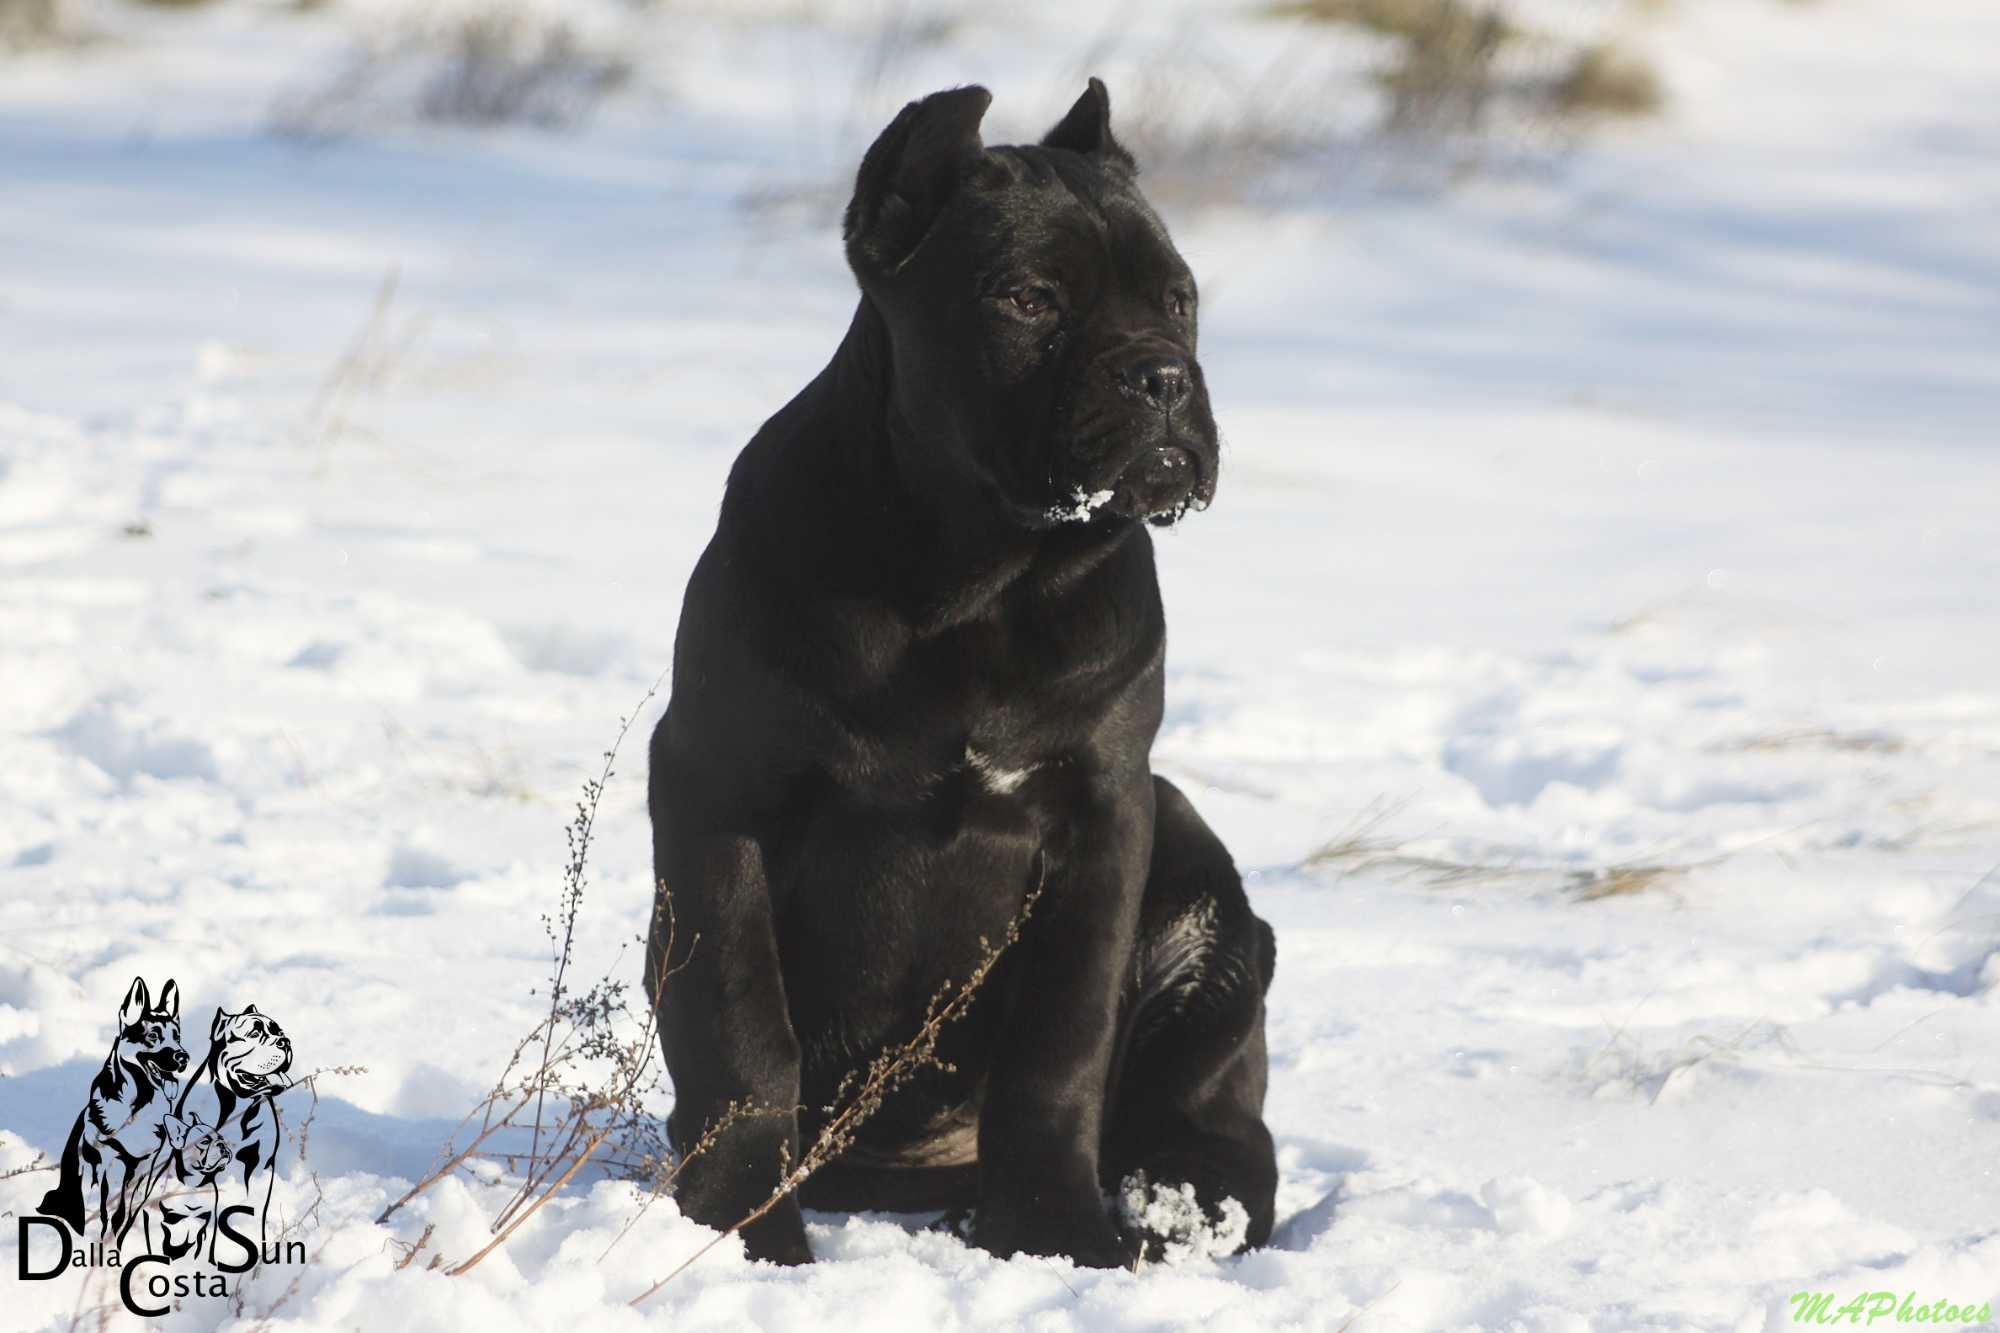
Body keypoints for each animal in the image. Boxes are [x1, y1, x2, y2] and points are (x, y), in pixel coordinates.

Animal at [38, 972, 188, 1240]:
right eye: (153, 1036)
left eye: (177, 1037)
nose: (183, 1057)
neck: (139, 1102)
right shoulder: (103, 1160)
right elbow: (101, 1202)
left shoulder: (146, 1164)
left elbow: (127, 1205)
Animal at [656, 78, 1280, 1264]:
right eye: (1027, 300)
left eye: (1178, 300)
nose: (1163, 374)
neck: (977, 581)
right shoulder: (719, 793)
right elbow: (738, 1021)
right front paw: (737, 1224)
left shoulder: (1104, 813)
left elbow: (1060, 1044)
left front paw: (1055, 1232)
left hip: (1200, 880)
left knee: (1217, 1114)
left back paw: (1178, 1203)